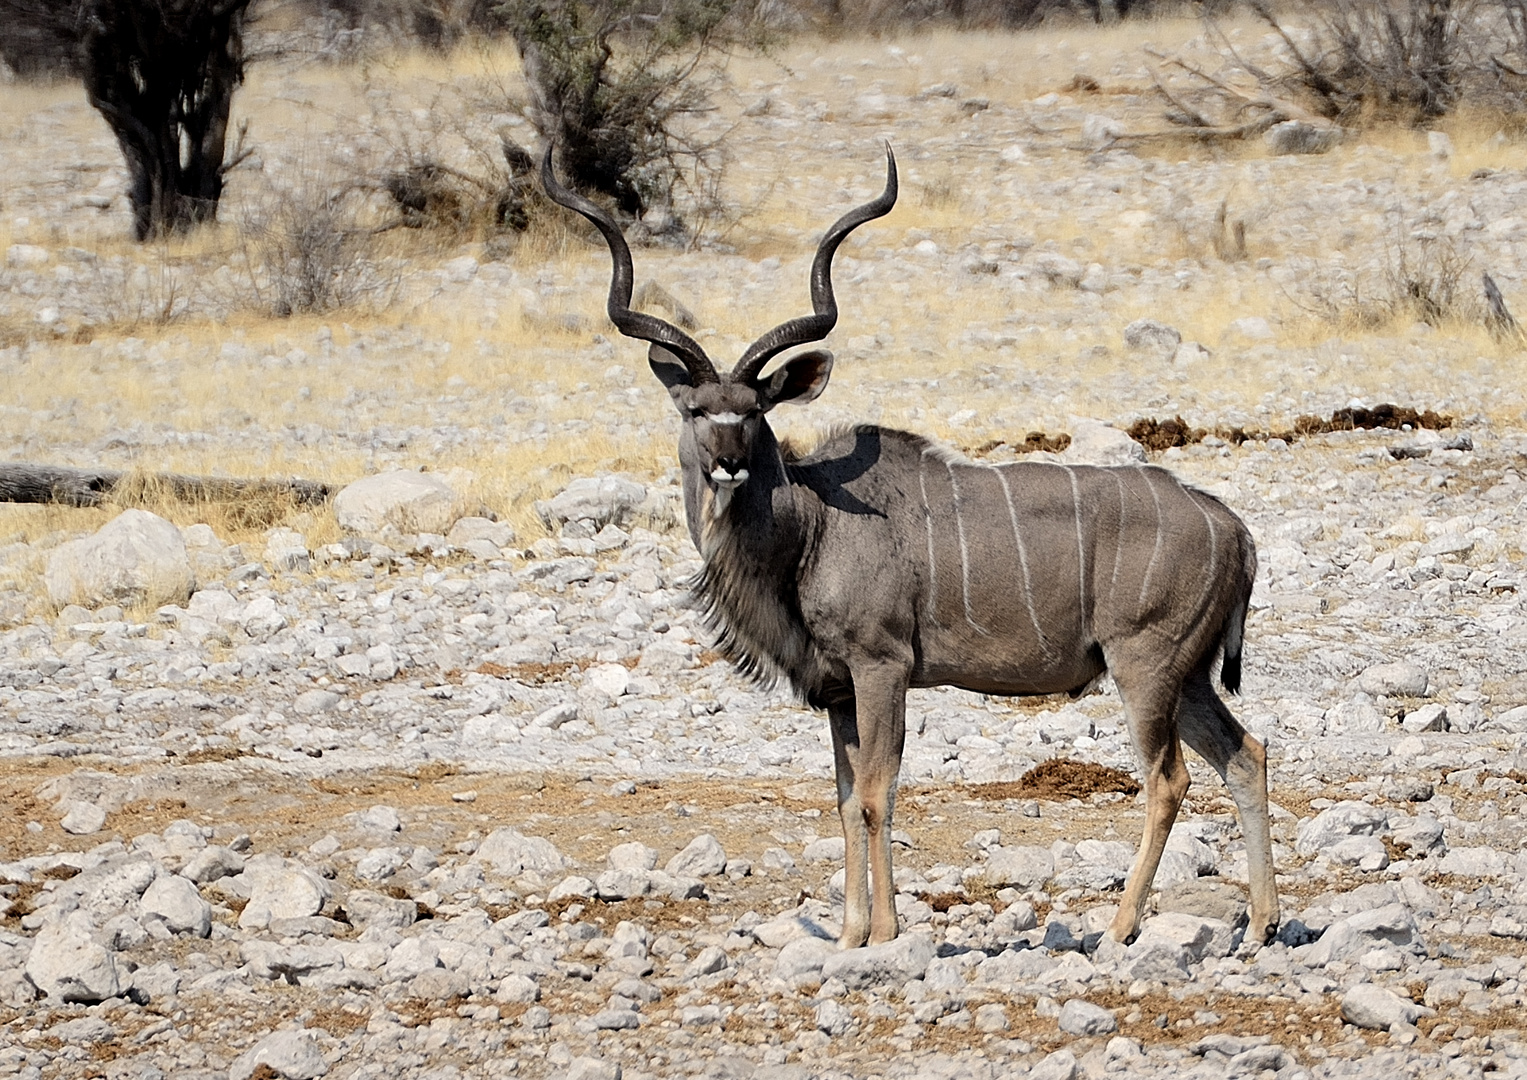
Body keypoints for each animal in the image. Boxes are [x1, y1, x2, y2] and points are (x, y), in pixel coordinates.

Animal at [537, 145, 1276, 953]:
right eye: (697, 410)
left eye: (755, 411)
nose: (728, 463)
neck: (812, 526)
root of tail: (1234, 530)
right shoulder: (837, 691)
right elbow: (840, 797)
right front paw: (849, 933)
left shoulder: (881, 666)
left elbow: (874, 795)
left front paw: (885, 933)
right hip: (1188, 676)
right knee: (1246, 755)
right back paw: (1261, 924)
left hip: (1143, 664)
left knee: (1168, 779)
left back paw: (1118, 927)